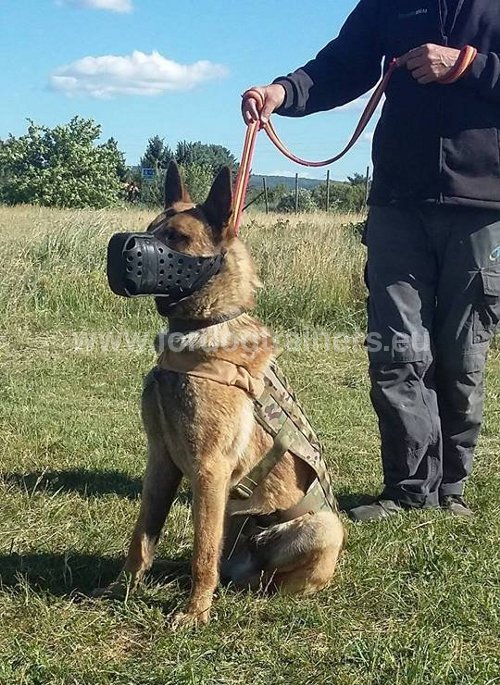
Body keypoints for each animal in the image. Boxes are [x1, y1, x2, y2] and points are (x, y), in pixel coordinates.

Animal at [98, 163, 348, 628]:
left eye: (177, 237)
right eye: (150, 229)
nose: (117, 245)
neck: (201, 329)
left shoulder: (208, 469)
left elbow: (202, 553)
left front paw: (195, 613)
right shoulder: (161, 460)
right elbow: (143, 535)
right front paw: (122, 588)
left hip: (324, 527)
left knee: (263, 578)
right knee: (222, 562)